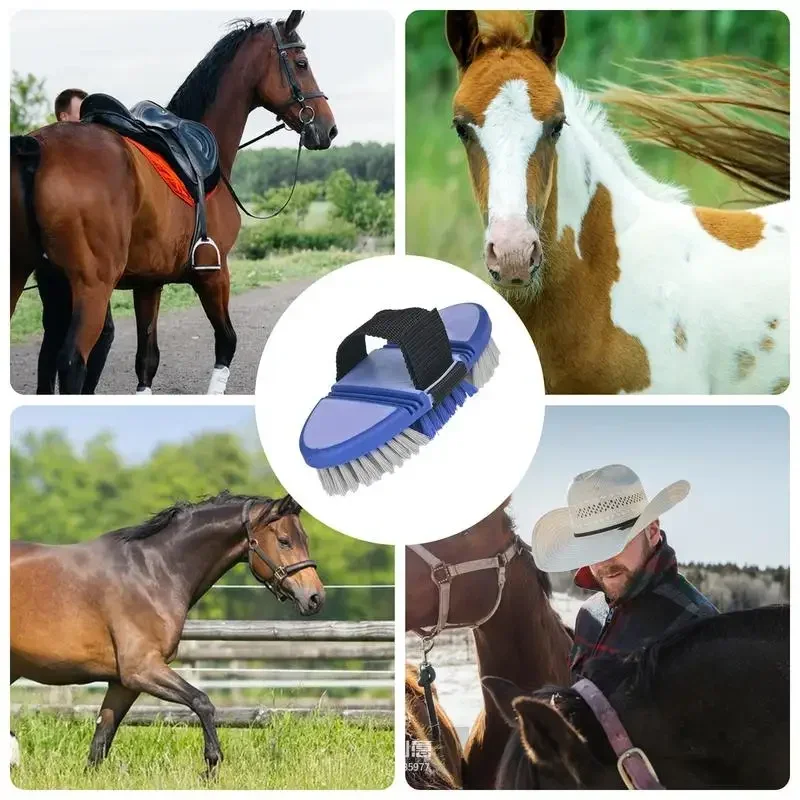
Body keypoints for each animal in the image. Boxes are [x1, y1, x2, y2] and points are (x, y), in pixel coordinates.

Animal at [10, 10, 337, 395]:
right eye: (301, 63)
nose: (328, 128)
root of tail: (37, 148)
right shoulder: (213, 273)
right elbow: (227, 342)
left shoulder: (148, 284)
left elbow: (146, 361)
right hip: (92, 287)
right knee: (73, 363)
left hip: (25, 276)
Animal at [10, 492, 324, 774]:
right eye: (284, 541)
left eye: (306, 540)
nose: (315, 598)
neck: (152, 573)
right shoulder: (142, 669)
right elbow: (202, 702)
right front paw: (211, 763)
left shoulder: (124, 683)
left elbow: (101, 742)